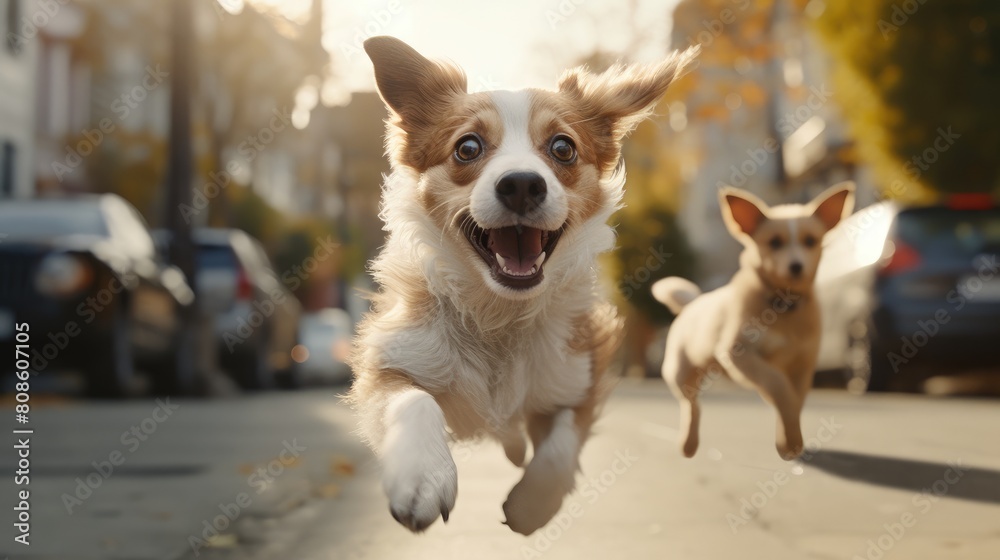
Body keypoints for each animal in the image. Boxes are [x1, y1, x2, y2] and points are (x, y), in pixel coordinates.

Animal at [350, 36, 696, 532]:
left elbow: (560, 446)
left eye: (563, 147)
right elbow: (414, 402)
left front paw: (532, 506)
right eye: (468, 147)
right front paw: (421, 477)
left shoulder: (579, 373)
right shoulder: (393, 358)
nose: (521, 184)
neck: (501, 314)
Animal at [652, 183, 856, 460]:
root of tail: (692, 303)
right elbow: (779, 386)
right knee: (691, 405)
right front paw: (790, 437)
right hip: (679, 373)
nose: (796, 266)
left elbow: (793, 399)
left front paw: (789, 440)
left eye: (811, 241)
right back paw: (688, 443)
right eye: (775, 243)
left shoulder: (803, 364)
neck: (782, 305)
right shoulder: (740, 354)